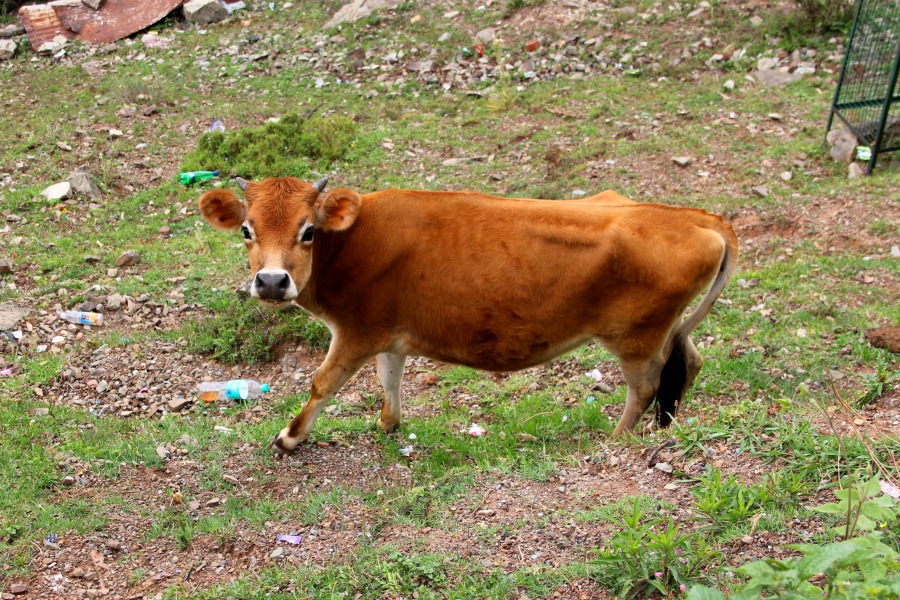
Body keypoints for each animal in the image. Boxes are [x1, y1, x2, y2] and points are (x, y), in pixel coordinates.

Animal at [202, 178, 740, 454]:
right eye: (247, 230)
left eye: (308, 230)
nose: (272, 282)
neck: (354, 238)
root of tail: (696, 217)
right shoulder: (387, 335)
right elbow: (389, 379)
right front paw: (388, 424)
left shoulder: (356, 332)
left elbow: (322, 382)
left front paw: (289, 437)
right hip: (664, 327)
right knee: (688, 361)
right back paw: (666, 423)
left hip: (635, 336)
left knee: (645, 386)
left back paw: (617, 436)